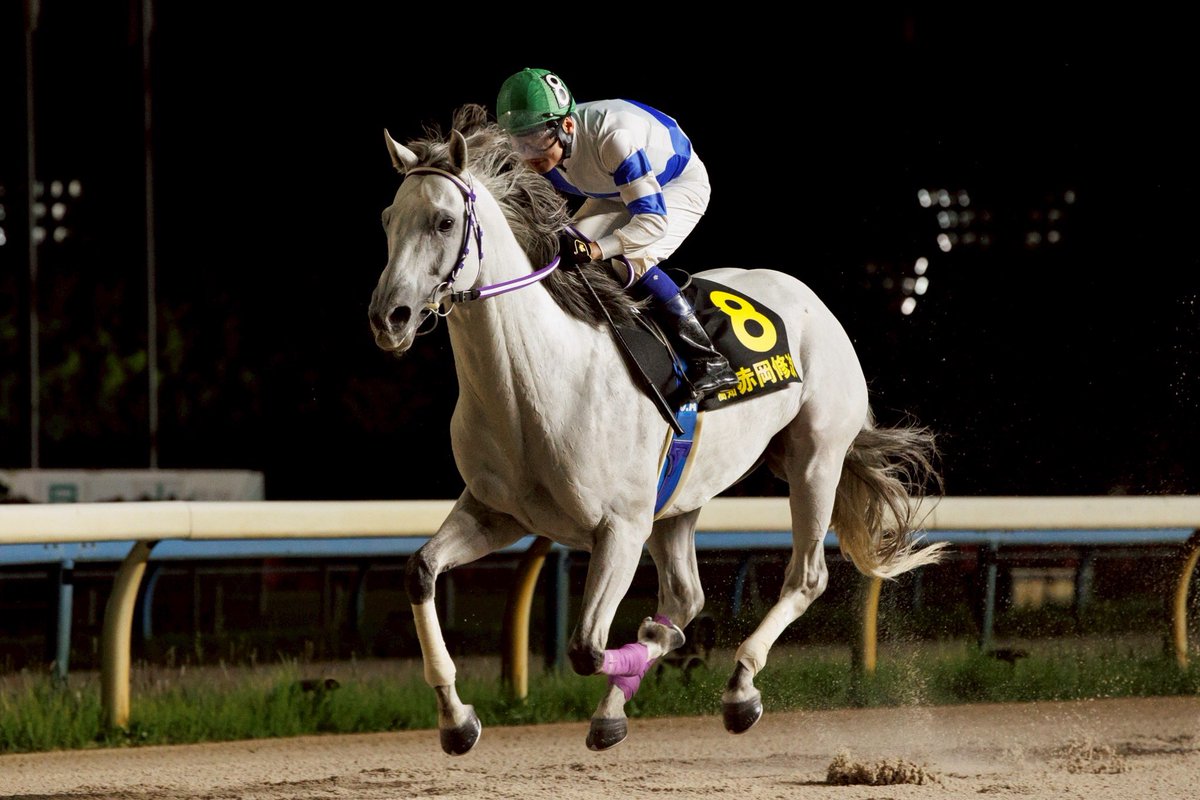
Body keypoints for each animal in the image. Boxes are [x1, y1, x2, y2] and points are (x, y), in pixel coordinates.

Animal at [368, 104, 946, 755]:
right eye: (389, 218)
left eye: (444, 221)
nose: (389, 318)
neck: (532, 385)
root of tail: (808, 298)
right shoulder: (499, 512)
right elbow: (420, 572)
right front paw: (456, 717)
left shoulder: (619, 527)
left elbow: (586, 648)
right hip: (681, 495)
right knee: (686, 594)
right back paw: (625, 695)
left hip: (815, 459)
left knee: (805, 577)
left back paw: (739, 688)